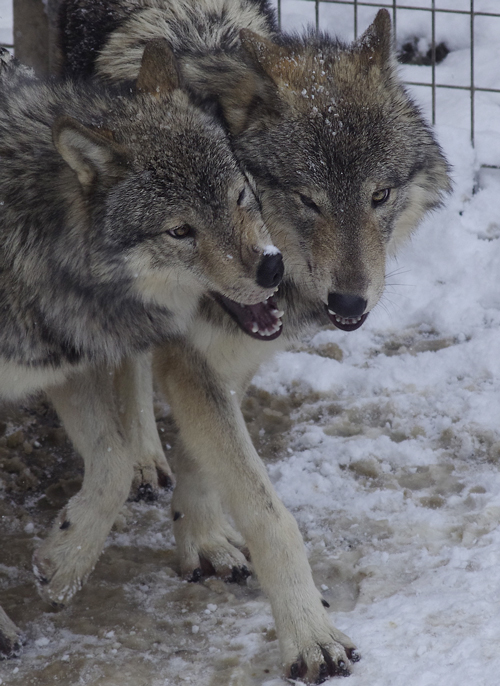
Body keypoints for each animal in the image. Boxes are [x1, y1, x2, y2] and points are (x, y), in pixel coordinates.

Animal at [0, 43, 282, 660]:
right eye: (180, 231)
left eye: (240, 196)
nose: (274, 268)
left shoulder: (67, 360)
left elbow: (110, 462)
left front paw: (66, 561)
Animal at [55, 4, 454, 684]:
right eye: (308, 200)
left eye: (379, 196)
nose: (351, 305)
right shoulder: (192, 357)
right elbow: (269, 513)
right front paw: (310, 638)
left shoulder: (230, 356)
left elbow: (205, 463)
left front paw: (202, 537)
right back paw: (140, 457)